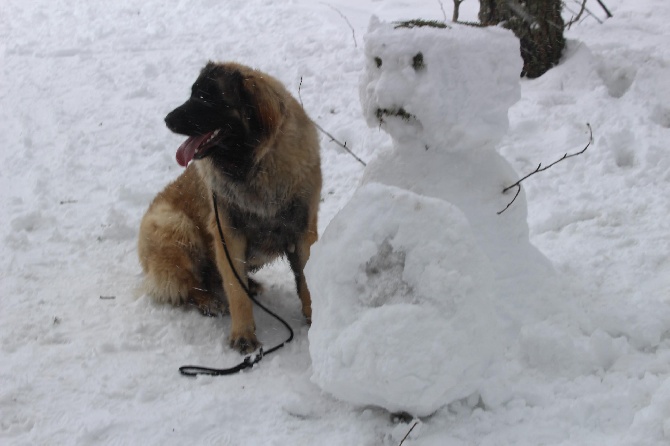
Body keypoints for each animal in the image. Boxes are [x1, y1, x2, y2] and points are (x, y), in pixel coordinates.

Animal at [138, 62, 322, 354]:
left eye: (207, 98)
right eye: (193, 93)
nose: (167, 119)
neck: (255, 166)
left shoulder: (303, 230)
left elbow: (306, 279)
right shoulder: (228, 235)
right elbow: (236, 290)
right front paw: (243, 335)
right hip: (176, 225)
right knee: (188, 285)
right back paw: (209, 301)